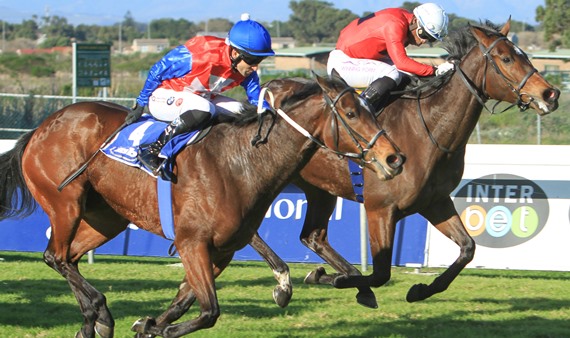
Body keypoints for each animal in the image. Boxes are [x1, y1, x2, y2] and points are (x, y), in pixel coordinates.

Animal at [0, 72, 404, 336]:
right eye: (351, 114)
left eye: (371, 109)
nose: (394, 158)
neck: (240, 163)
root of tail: (40, 128)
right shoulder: (191, 242)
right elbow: (209, 310)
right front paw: (158, 328)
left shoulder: (221, 250)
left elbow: (185, 300)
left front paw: (148, 324)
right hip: (65, 203)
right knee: (55, 256)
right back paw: (98, 309)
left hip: (106, 218)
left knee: (68, 258)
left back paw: (92, 319)